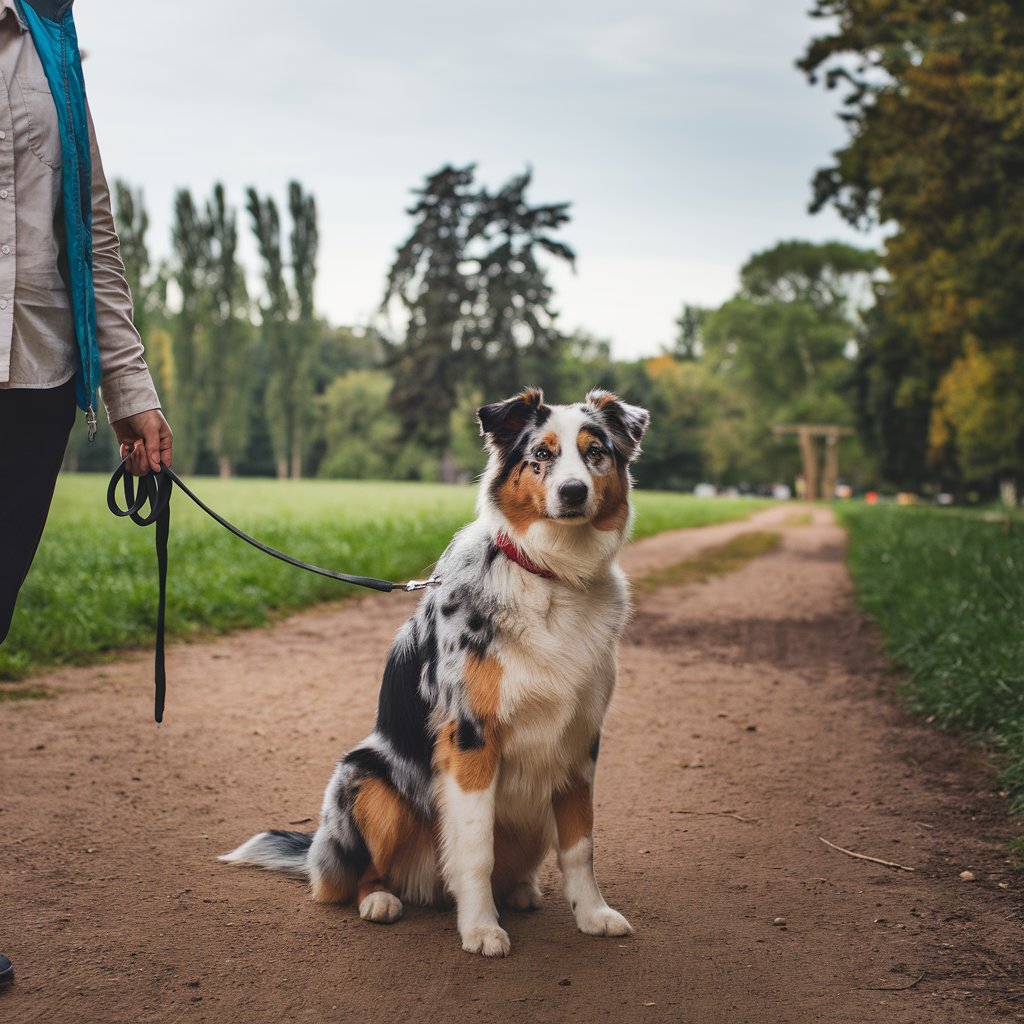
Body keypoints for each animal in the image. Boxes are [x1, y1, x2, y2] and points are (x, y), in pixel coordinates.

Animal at [220, 387, 651, 954]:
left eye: (595, 451)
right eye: (542, 454)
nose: (574, 491)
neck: (553, 575)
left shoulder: (580, 741)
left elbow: (580, 845)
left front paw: (593, 914)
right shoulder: (471, 737)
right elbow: (474, 848)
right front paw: (481, 929)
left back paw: (520, 891)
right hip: (365, 779)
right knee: (363, 874)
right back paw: (380, 900)